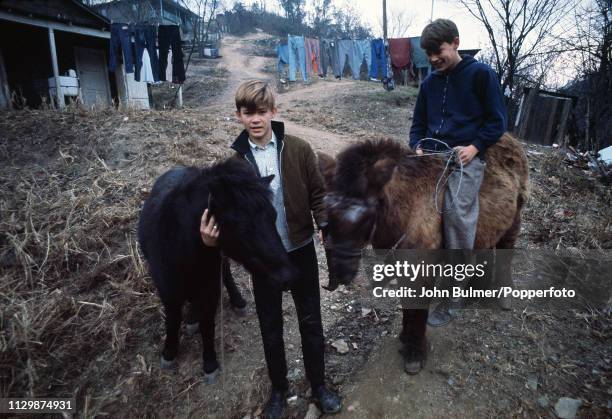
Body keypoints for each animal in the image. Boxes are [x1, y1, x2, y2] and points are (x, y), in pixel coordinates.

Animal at [322, 135, 528, 374]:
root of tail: (514, 141)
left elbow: (417, 308)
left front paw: (415, 351)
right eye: (327, 216)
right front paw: (406, 337)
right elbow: (407, 304)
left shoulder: (421, 268)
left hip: (513, 223)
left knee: (505, 254)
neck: (405, 211)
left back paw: (503, 295)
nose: (339, 275)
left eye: (366, 216)